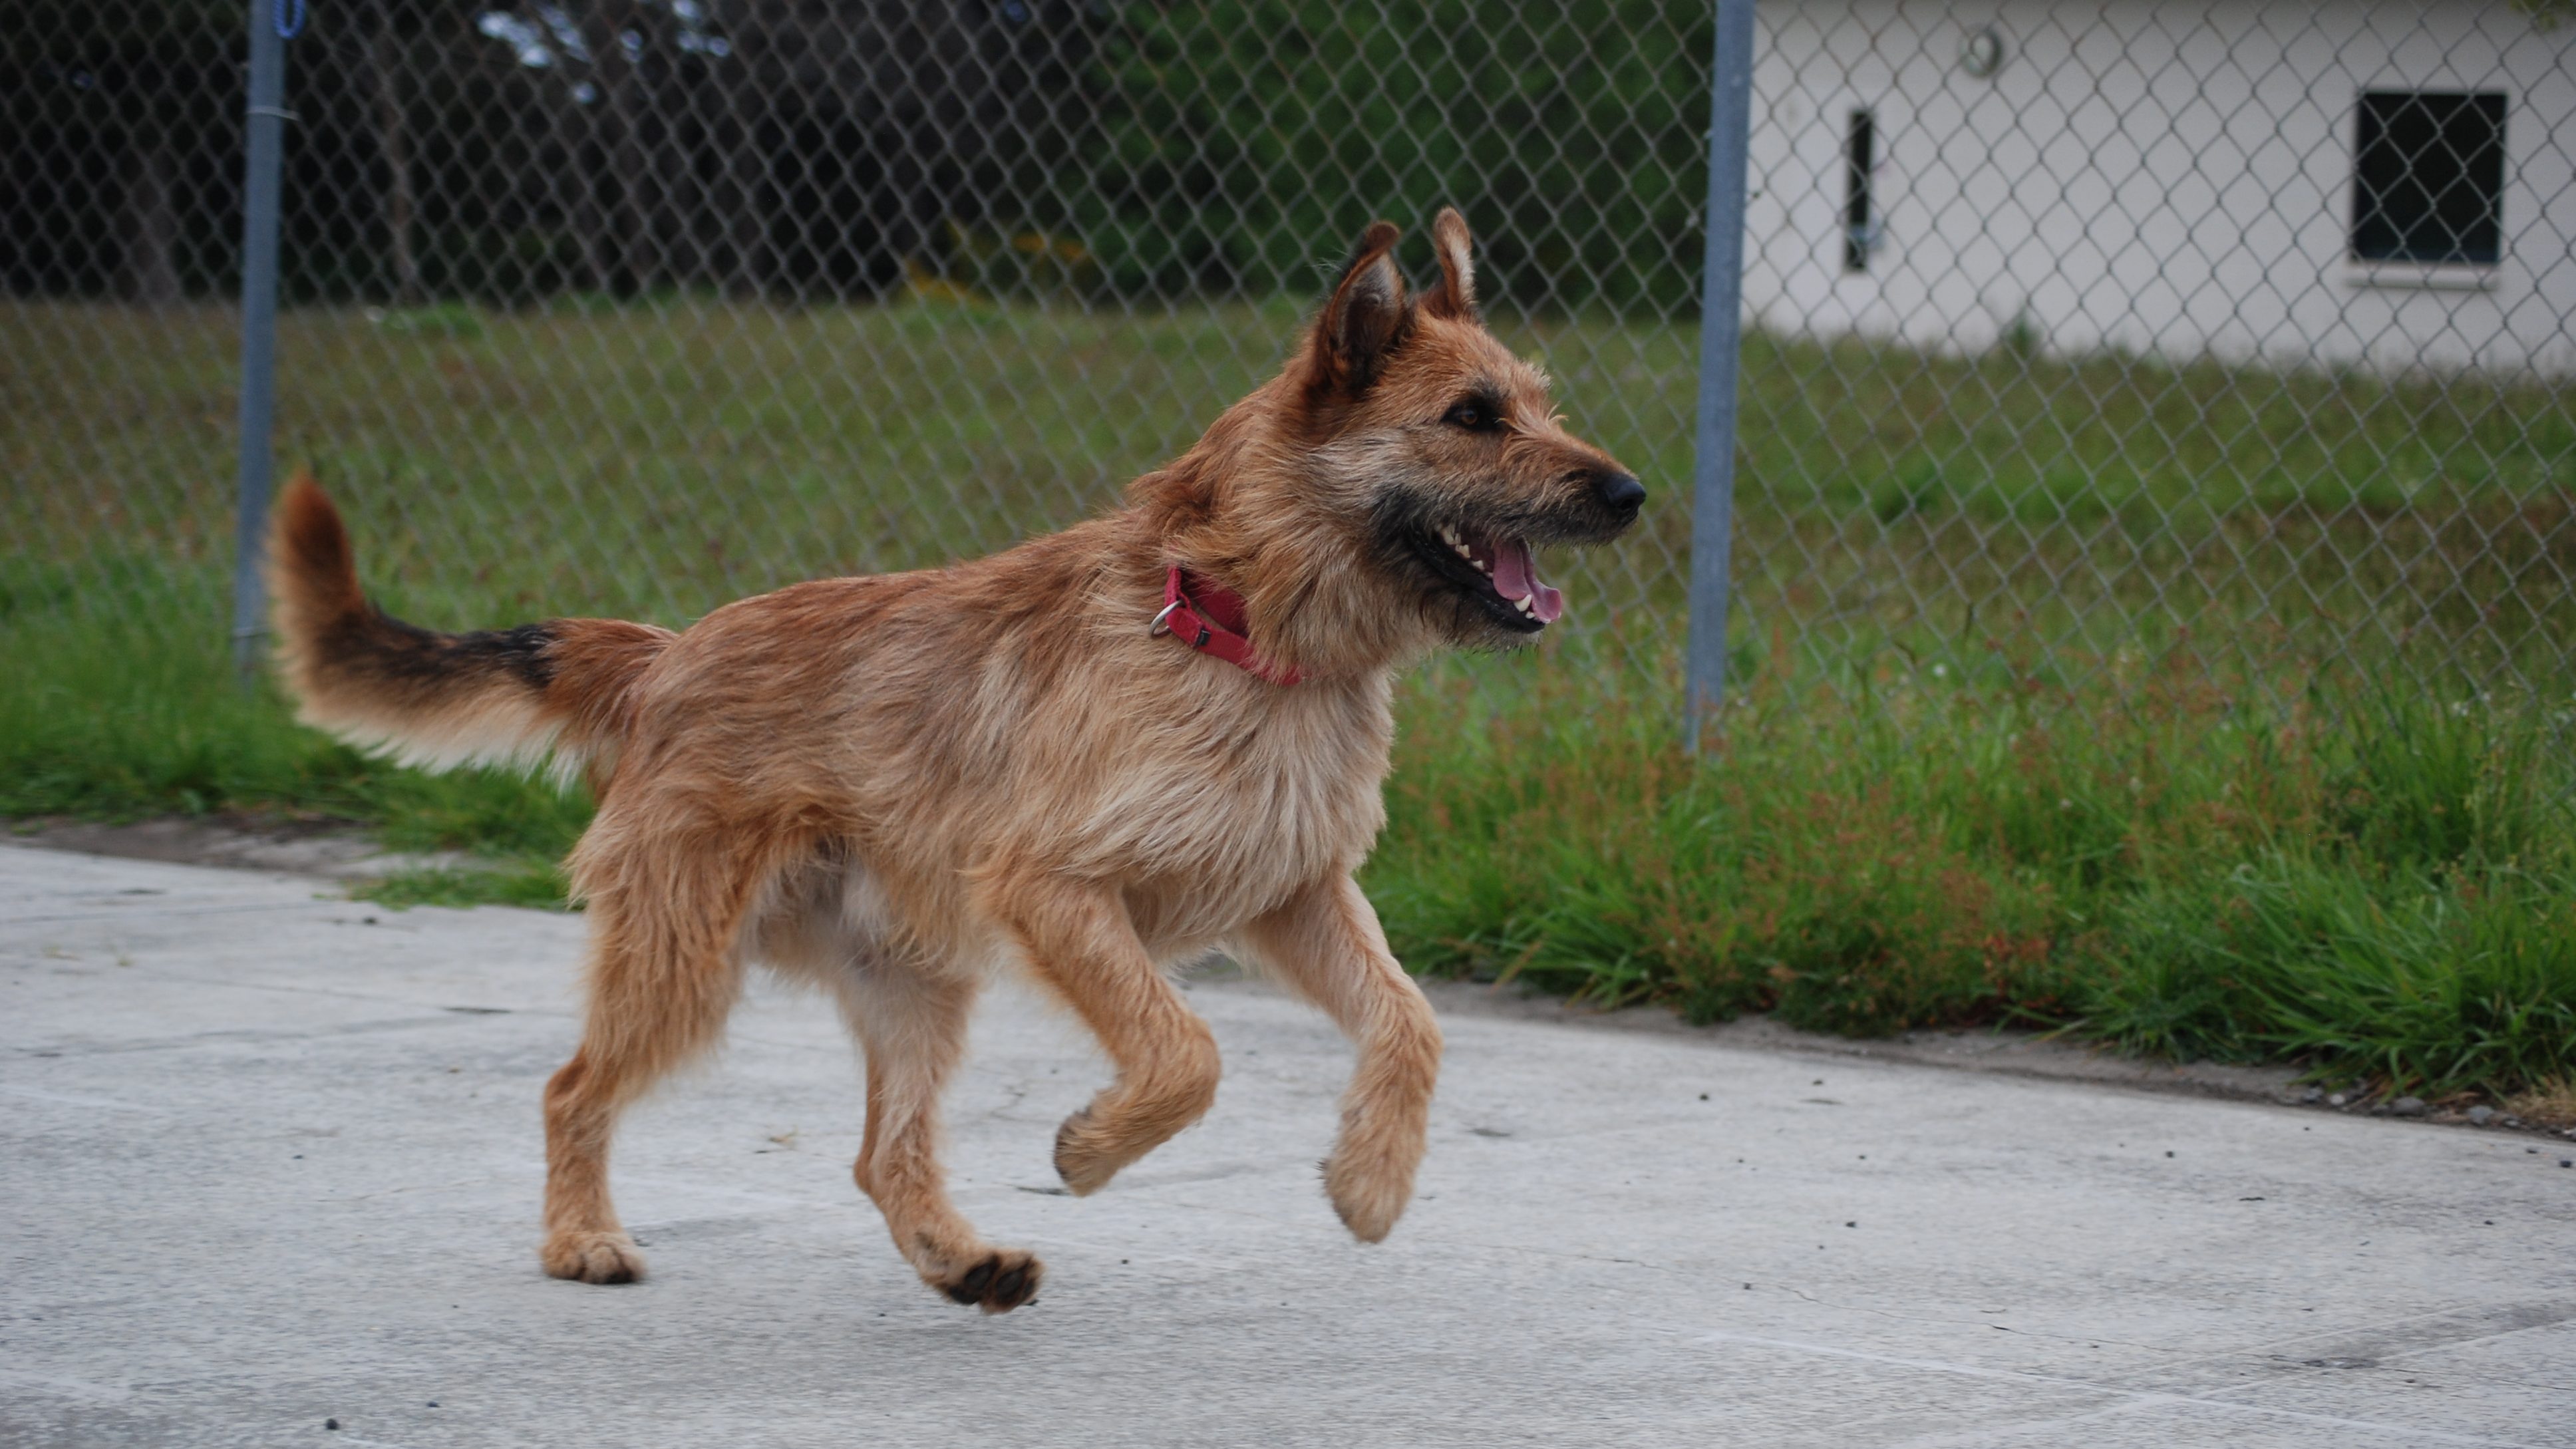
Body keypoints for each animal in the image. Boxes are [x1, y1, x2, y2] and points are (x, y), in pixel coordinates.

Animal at [271, 208, 1638, 1304]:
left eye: (1539, 404)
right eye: (1471, 419)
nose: (1628, 493)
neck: (1240, 624)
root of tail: (665, 656)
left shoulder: (1297, 893)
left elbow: (1411, 1021)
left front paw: (1370, 1182)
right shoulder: (1057, 889)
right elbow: (1186, 1050)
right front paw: (1093, 1146)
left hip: (913, 985)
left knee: (881, 1153)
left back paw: (961, 1261)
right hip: (686, 957)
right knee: (571, 1088)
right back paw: (581, 1240)